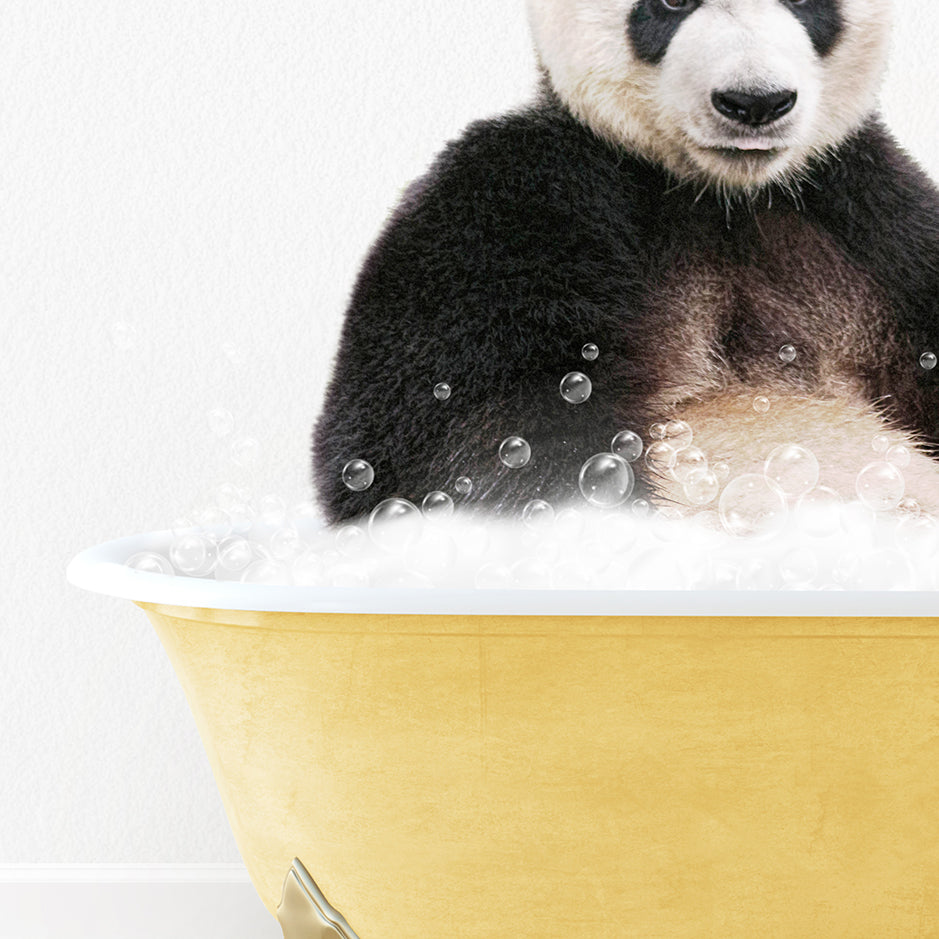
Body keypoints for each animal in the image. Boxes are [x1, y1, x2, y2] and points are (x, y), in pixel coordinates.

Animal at [314, 0, 939, 528]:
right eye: (671, 3)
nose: (755, 102)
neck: (721, 196)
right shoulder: (515, 206)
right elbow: (436, 445)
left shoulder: (872, 213)